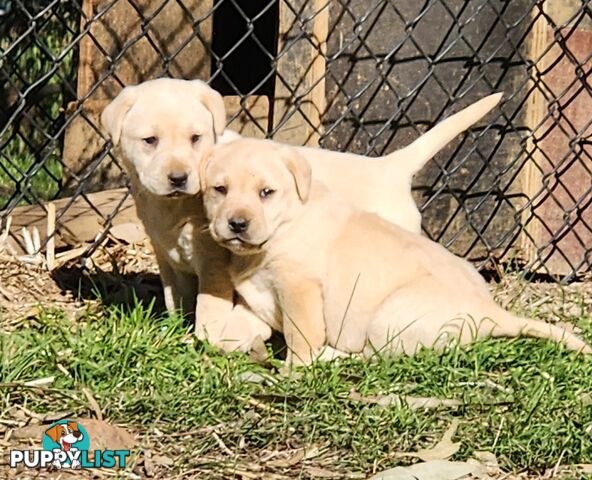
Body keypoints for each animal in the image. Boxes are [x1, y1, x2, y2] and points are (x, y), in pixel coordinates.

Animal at [100, 77, 500, 350]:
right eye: (150, 141)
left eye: (196, 138)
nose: (179, 178)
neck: (171, 207)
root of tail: (390, 167)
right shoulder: (167, 258)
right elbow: (177, 300)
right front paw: (175, 330)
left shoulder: (214, 262)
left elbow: (209, 307)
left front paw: (207, 338)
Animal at [201, 137, 588, 366]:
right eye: (220, 189)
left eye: (266, 192)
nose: (237, 224)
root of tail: (492, 312)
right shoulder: (255, 293)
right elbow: (239, 321)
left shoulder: (300, 289)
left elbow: (302, 337)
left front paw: (293, 370)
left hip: (385, 317)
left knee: (375, 357)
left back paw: (335, 356)